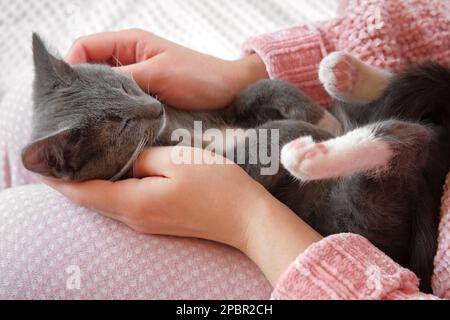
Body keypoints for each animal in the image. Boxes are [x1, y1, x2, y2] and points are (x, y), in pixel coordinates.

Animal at [23, 33, 450, 292]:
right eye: (121, 125)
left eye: (124, 85)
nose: (154, 107)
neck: (179, 125)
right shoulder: (241, 166)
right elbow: (260, 146)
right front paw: (300, 128)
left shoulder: (220, 107)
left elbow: (253, 91)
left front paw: (312, 113)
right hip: (356, 209)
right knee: (406, 142)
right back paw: (310, 153)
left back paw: (343, 82)